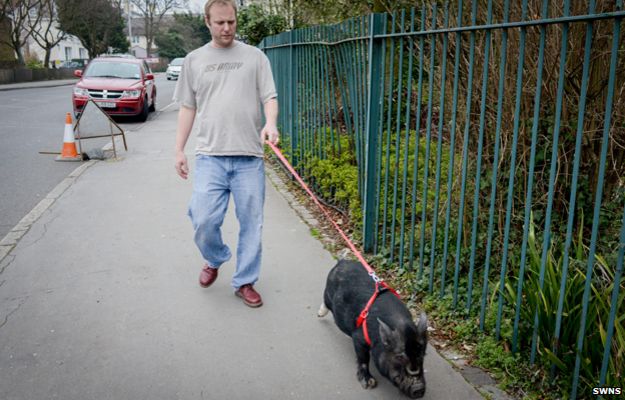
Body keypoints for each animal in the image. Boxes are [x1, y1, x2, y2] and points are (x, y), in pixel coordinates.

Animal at [320, 260, 426, 396]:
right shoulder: (359, 337)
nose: (419, 389)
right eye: (399, 356)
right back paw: (319, 314)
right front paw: (369, 384)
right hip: (329, 296)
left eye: (422, 354)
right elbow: (363, 359)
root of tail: (342, 261)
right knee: (325, 301)